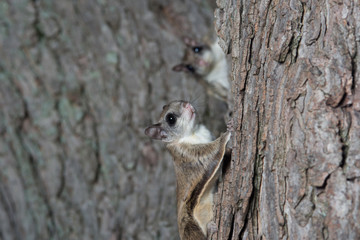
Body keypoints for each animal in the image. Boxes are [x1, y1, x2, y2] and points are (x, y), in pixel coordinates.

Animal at [143, 100, 231, 240]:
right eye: (171, 119)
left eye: (178, 101)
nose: (187, 104)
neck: (193, 132)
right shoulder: (191, 156)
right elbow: (214, 150)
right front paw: (226, 133)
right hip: (189, 226)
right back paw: (210, 228)